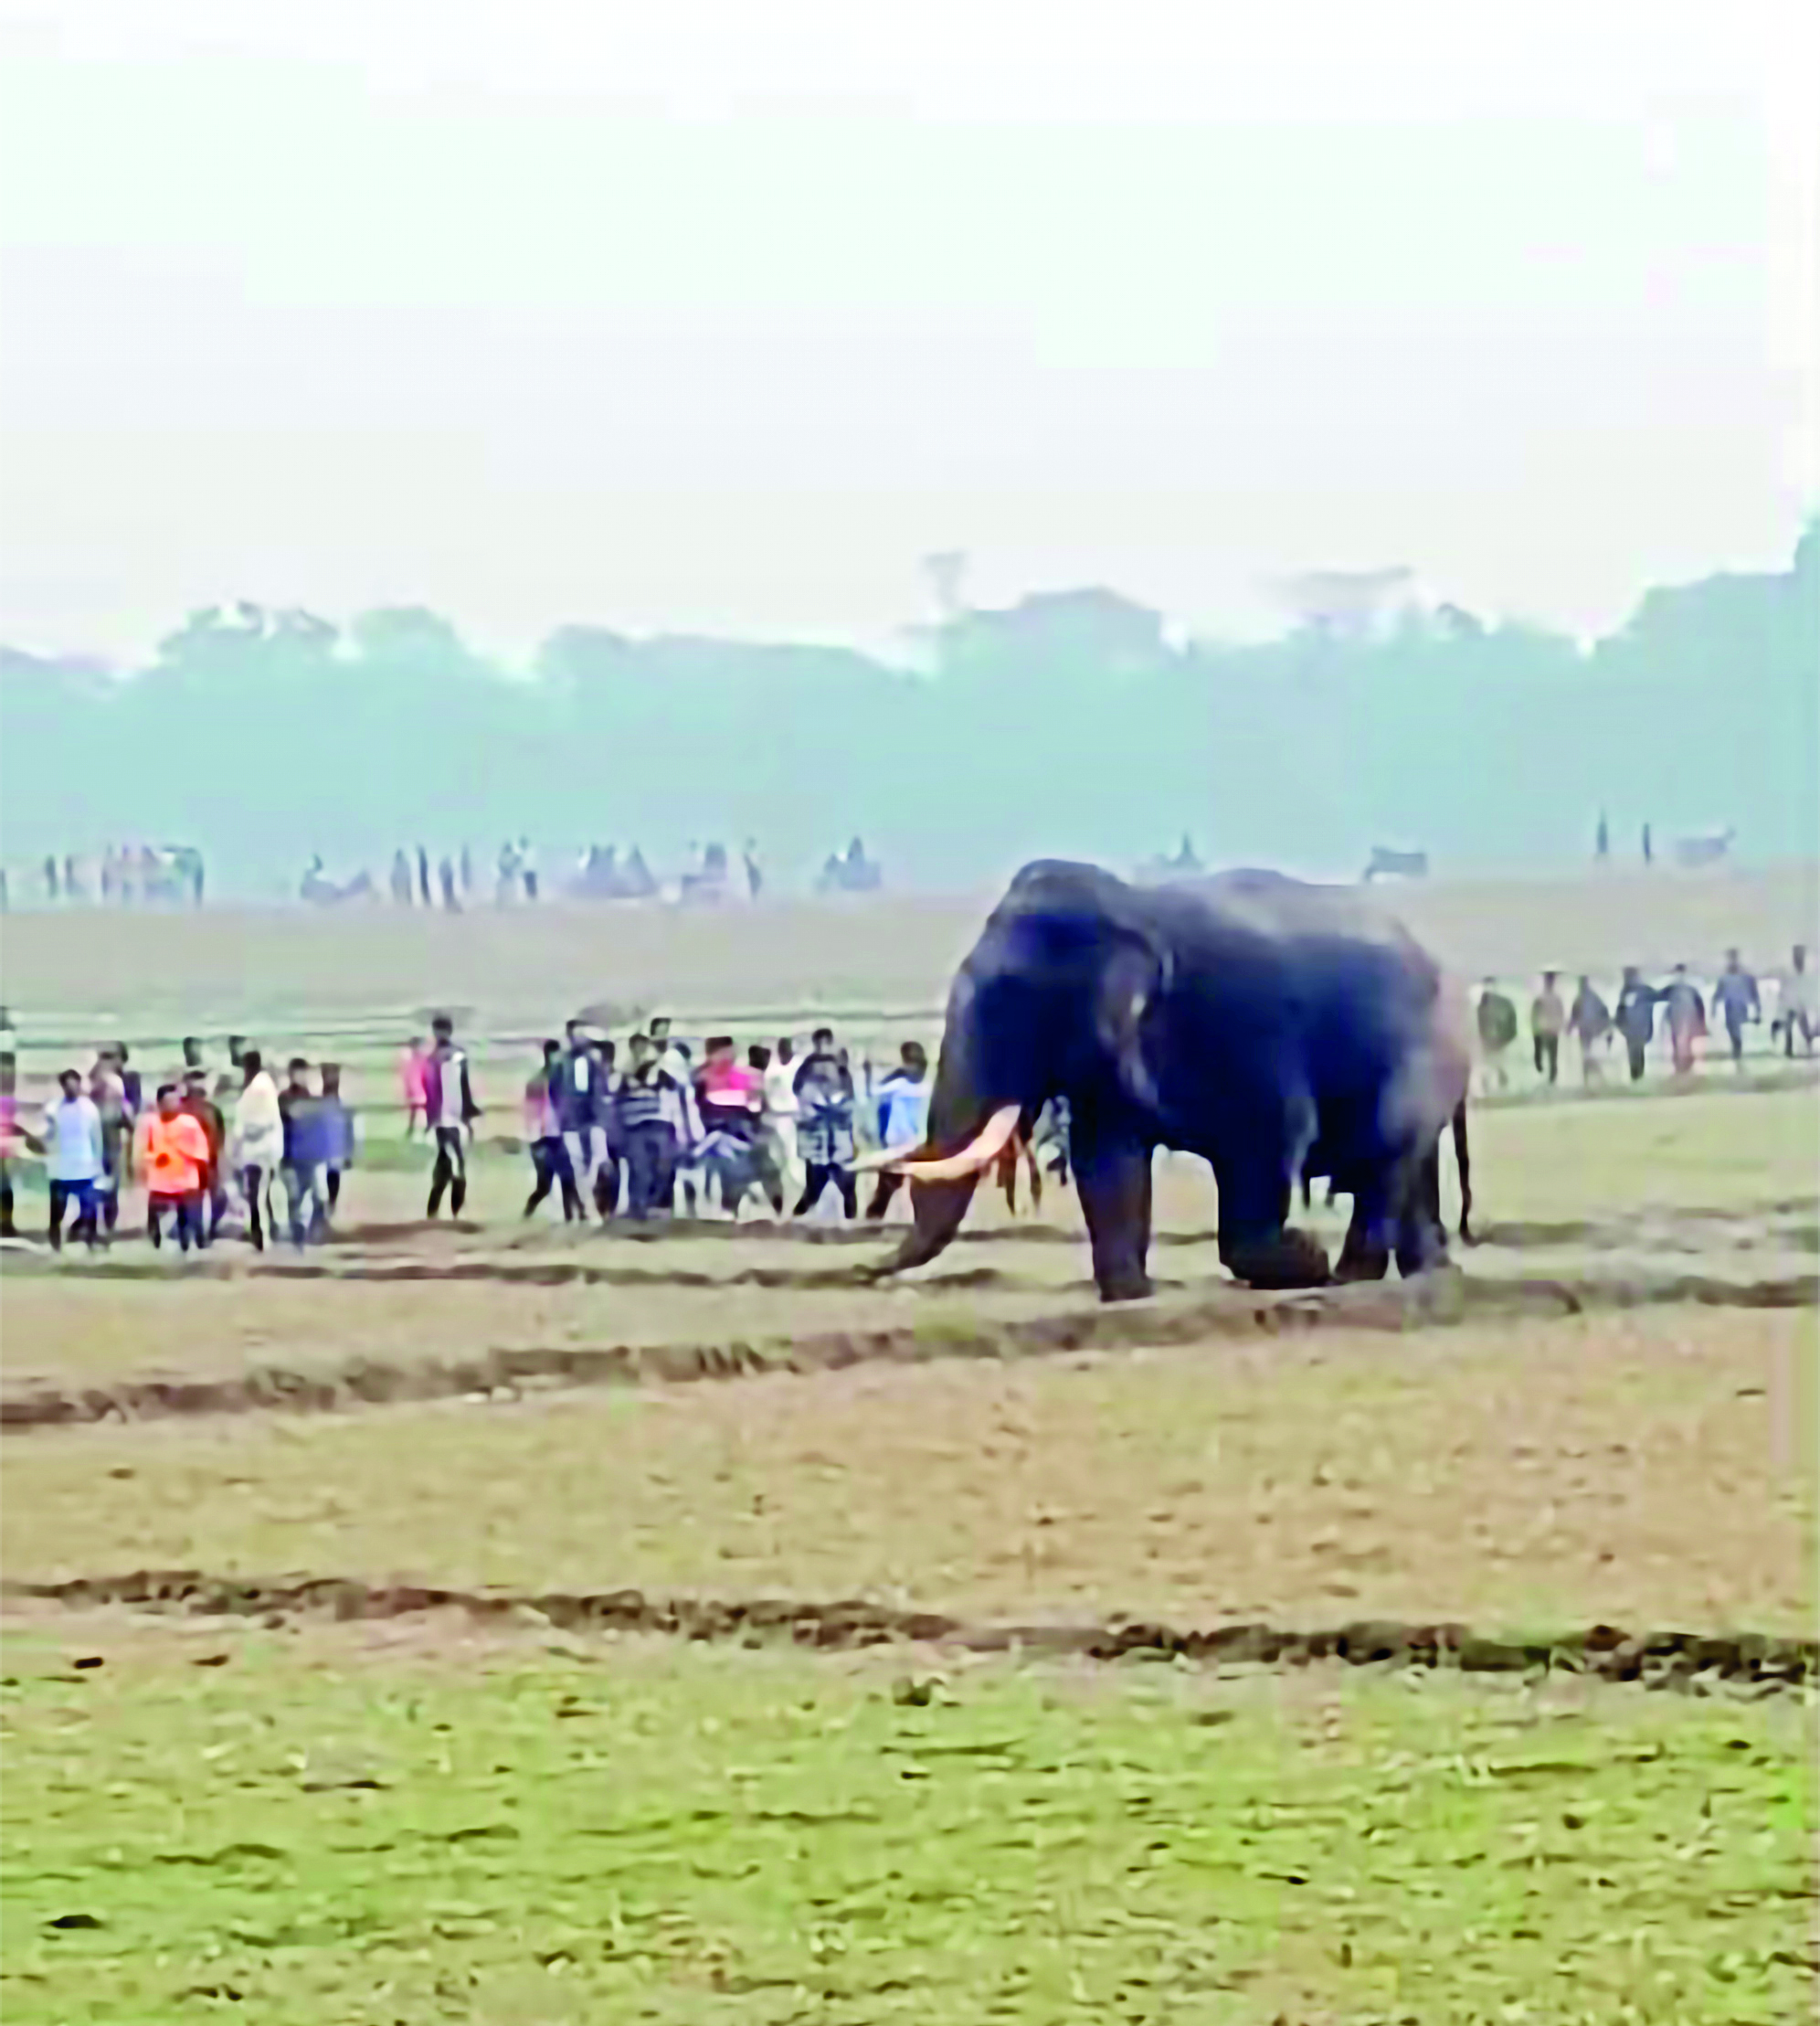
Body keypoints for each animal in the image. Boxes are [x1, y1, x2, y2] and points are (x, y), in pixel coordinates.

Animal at [866, 860, 1473, 1302]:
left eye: (1009, 998)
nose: (862, 1271)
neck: (1132, 906)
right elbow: (1107, 1162)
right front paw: (1133, 1293)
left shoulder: (1246, 1025)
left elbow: (1269, 1141)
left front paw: (1303, 1259)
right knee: (1407, 1167)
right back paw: (1433, 1274)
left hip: (1419, 1059)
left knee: (1385, 1159)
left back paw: (1351, 1276)